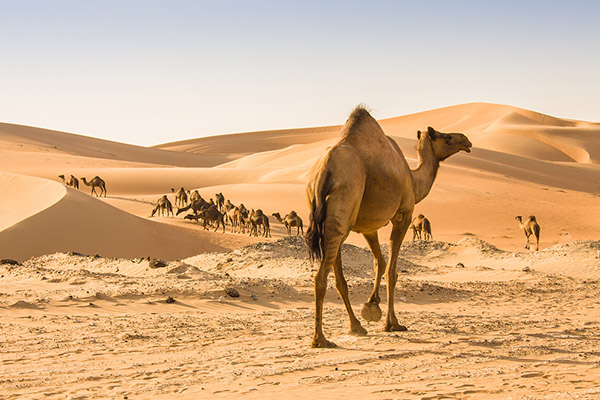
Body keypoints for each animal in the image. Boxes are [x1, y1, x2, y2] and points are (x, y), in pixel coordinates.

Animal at [308, 106, 472, 346]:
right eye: (446, 137)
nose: (466, 140)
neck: (413, 179)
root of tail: (323, 172)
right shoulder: (404, 214)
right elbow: (392, 270)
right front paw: (392, 323)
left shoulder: (368, 226)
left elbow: (380, 262)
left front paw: (371, 306)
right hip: (343, 208)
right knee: (321, 276)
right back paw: (321, 339)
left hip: (332, 219)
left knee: (338, 278)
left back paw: (356, 327)